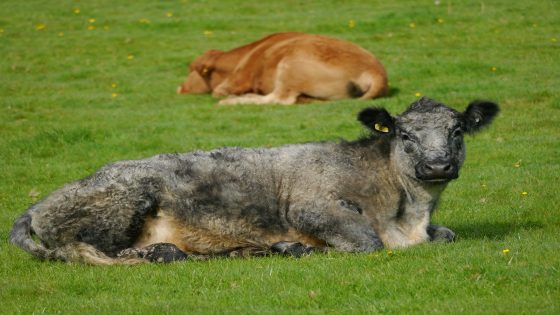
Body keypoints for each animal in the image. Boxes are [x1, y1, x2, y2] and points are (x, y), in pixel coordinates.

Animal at [177, 32, 388, 105]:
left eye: (190, 70)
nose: (180, 88)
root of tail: (376, 71)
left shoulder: (233, 82)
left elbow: (218, 91)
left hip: (290, 66)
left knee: (280, 99)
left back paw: (232, 102)